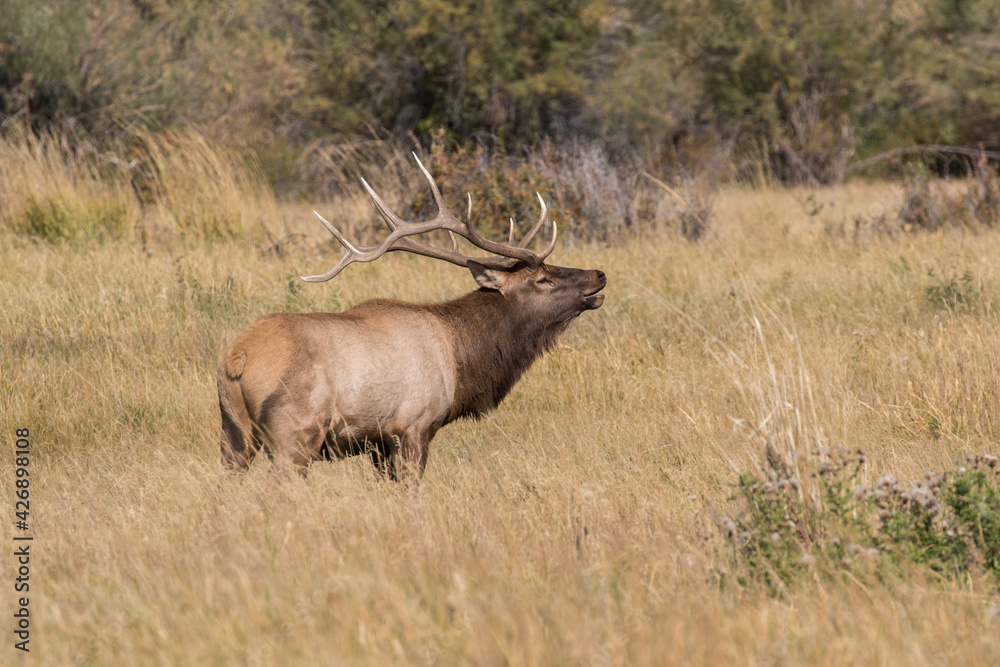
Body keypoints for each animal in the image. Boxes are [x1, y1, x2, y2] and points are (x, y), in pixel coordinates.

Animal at [219, 155, 604, 480]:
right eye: (543, 280)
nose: (599, 274)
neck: (463, 362)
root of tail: (237, 358)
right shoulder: (413, 426)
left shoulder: (377, 444)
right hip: (293, 434)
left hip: (233, 435)